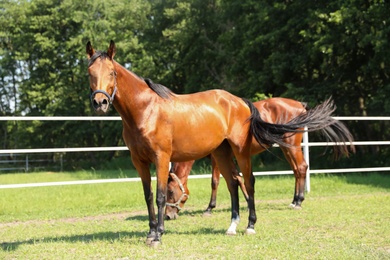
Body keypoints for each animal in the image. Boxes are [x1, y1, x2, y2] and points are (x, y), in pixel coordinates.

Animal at [165, 97, 356, 219]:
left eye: (171, 192)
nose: (167, 216)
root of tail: (300, 105)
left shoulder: (216, 158)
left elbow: (215, 181)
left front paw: (210, 208)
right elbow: (238, 177)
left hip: (291, 145)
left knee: (301, 167)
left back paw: (299, 201)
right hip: (286, 148)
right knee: (297, 170)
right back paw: (294, 200)